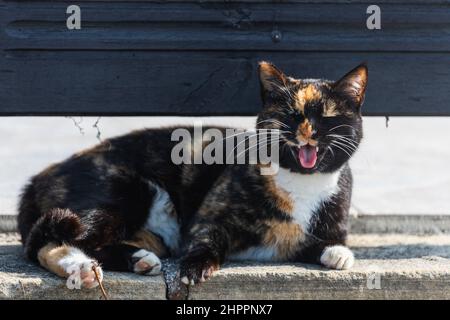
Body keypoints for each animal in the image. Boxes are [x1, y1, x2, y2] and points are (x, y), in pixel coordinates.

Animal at [18, 62, 370, 288]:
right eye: (290, 114)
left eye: (327, 117)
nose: (307, 131)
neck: (301, 185)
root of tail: (37, 178)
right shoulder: (209, 217)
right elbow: (205, 239)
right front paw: (194, 269)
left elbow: (328, 244)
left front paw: (338, 254)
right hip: (123, 194)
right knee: (45, 241)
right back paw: (83, 270)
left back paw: (139, 260)